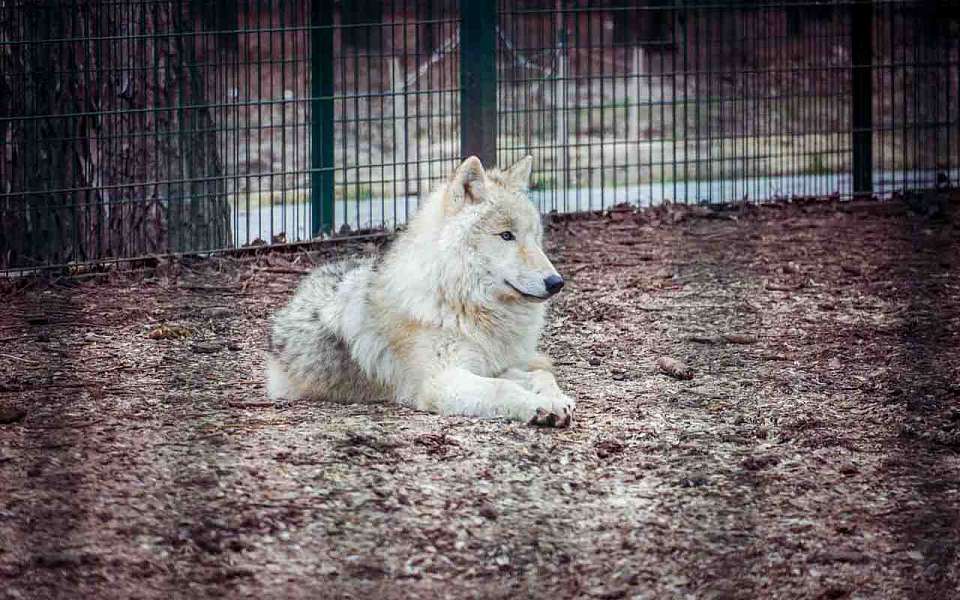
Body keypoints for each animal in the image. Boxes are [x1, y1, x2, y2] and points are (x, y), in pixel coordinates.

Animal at [266, 155, 572, 426]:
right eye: (506, 235)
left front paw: (556, 398)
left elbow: (541, 375)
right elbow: (503, 388)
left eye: (534, 237)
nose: (556, 282)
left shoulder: (494, 367)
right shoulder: (442, 380)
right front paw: (540, 406)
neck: (460, 303)